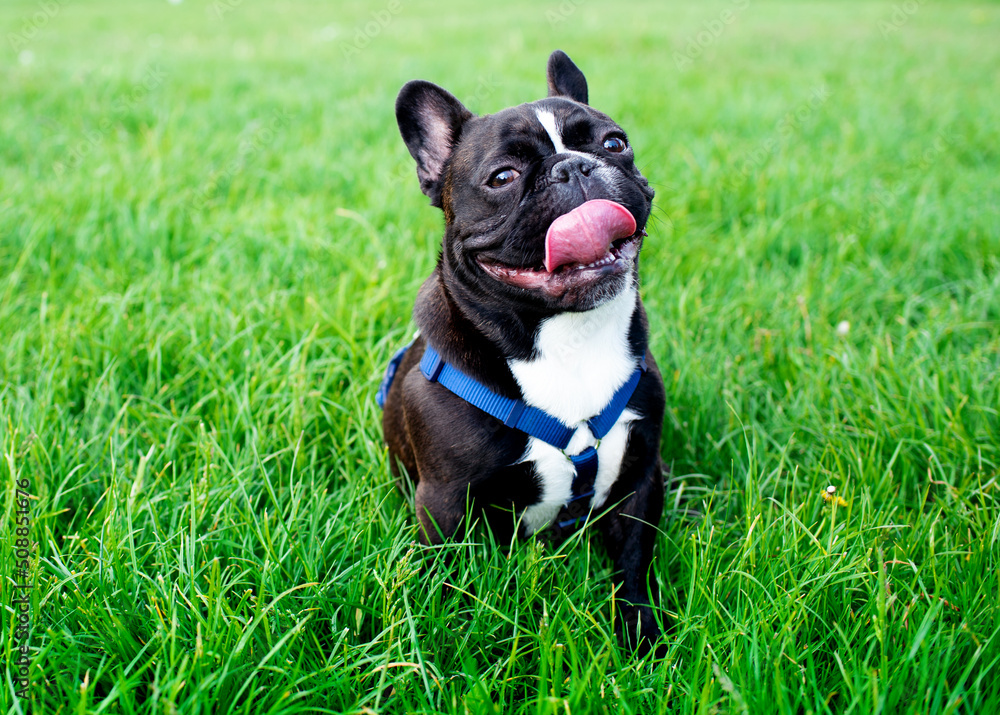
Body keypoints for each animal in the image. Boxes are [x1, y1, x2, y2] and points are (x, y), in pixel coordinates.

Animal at [378, 50, 668, 656]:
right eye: (503, 178)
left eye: (614, 143)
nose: (574, 167)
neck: (569, 336)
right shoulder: (445, 501)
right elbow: (449, 584)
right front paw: (446, 650)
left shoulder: (639, 479)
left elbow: (633, 565)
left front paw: (642, 640)